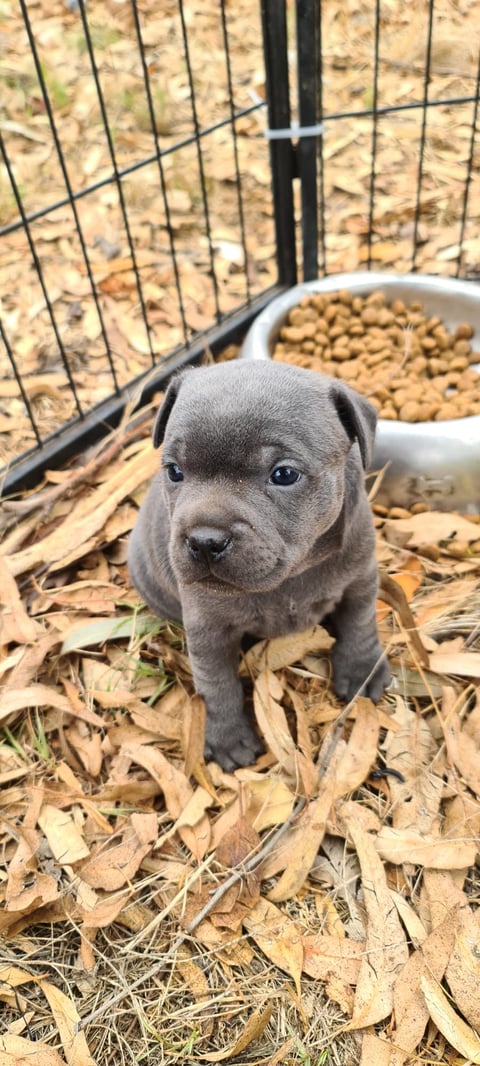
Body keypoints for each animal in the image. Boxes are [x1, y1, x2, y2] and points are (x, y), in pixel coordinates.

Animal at [127, 362, 390, 771]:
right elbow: (216, 684)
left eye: (284, 474)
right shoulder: (208, 630)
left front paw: (363, 671)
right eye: (174, 471)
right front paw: (228, 738)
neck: (291, 577)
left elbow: (360, 624)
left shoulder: (360, 580)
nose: (205, 540)